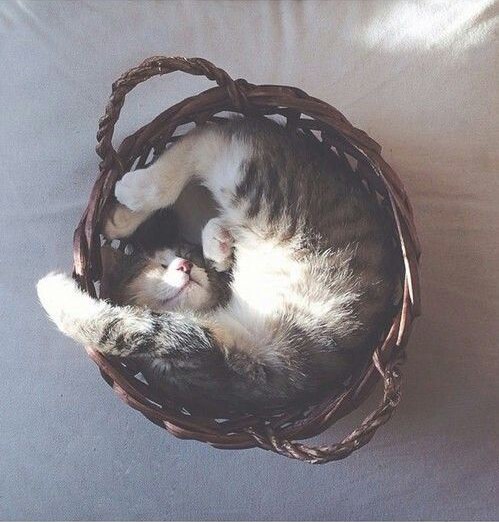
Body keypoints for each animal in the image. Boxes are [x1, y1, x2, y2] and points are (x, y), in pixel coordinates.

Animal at [37, 118, 400, 414]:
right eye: (160, 264)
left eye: (190, 260)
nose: (185, 266)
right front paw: (220, 244)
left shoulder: (188, 345)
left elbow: (102, 327)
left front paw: (47, 288)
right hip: (260, 193)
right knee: (210, 139)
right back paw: (122, 214)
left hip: (256, 191)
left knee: (210, 139)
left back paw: (128, 198)